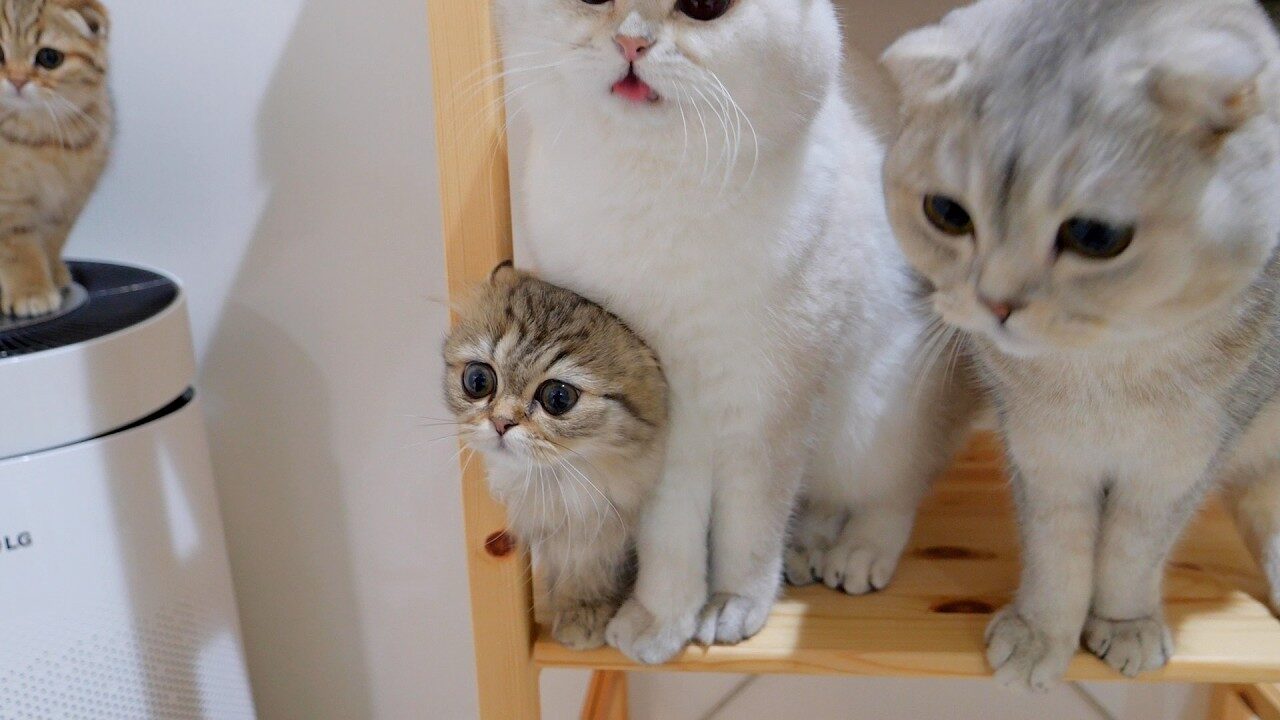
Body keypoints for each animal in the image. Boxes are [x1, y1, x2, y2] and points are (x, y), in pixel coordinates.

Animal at [0, 0, 111, 318]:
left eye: (48, 57)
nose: (16, 79)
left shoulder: (68, 200)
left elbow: (52, 240)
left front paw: (51, 273)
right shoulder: (8, 203)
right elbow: (18, 250)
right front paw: (30, 291)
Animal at [443, 263, 669, 650]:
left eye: (558, 398)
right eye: (477, 381)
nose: (501, 422)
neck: (557, 481)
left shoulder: (603, 526)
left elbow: (588, 567)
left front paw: (584, 611)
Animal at [493, 0, 975, 664]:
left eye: (703, 8)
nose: (631, 42)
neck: (655, 195)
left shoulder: (768, 409)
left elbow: (749, 529)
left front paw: (731, 610)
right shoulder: (662, 428)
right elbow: (670, 539)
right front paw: (660, 622)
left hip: (880, 414)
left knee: (897, 488)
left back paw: (857, 555)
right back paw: (809, 549)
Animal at [881, 0, 1280, 689]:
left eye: (1095, 235)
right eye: (946, 214)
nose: (996, 302)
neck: (1100, 374)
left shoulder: (1182, 459)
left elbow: (1131, 550)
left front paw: (1124, 624)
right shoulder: (1042, 450)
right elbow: (1058, 551)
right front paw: (1043, 634)